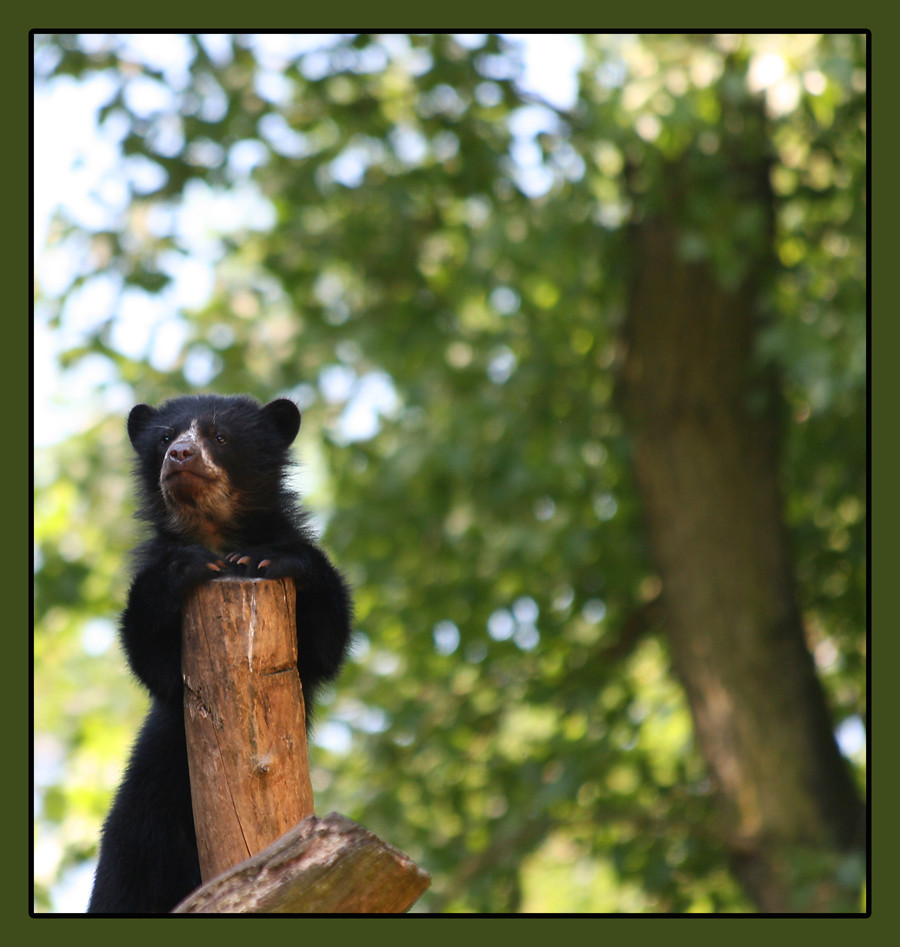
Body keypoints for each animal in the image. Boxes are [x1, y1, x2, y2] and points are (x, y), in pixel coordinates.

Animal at [84, 392, 352, 912]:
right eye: (165, 438)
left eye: (221, 437)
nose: (180, 456)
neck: (213, 531)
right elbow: (152, 660)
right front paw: (187, 567)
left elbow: (327, 641)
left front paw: (267, 559)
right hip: (144, 823)